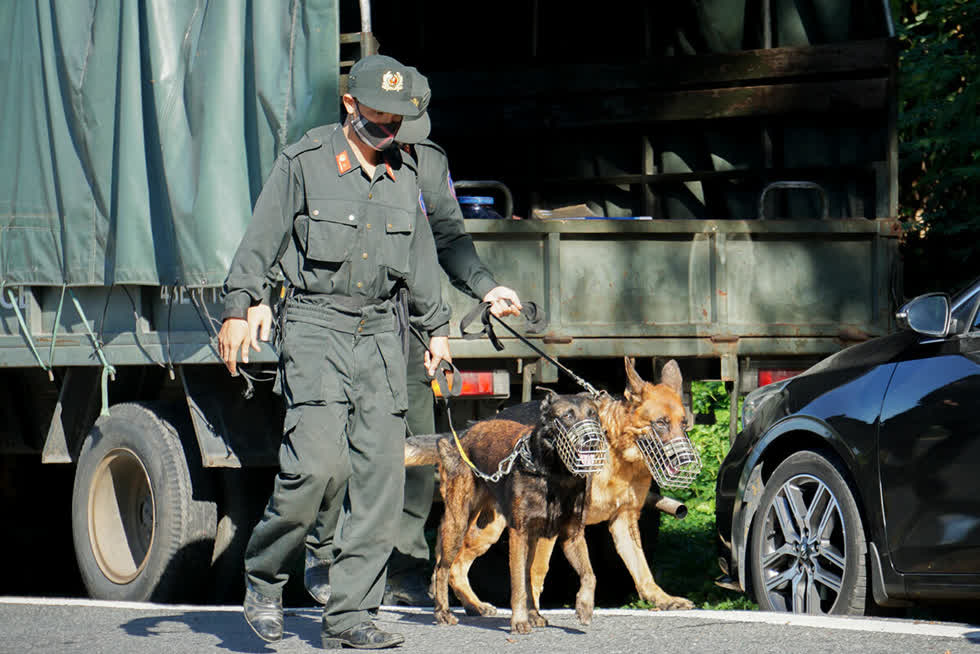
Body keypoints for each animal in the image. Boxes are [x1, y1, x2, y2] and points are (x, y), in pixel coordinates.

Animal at [404, 392, 596, 632]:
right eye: (568, 416)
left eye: (593, 414)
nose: (591, 439)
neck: (555, 476)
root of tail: (462, 435)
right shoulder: (519, 535)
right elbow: (519, 584)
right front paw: (520, 621)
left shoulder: (571, 537)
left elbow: (588, 575)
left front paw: (583, 607)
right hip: (459, 525)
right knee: (442, 568)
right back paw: (443, 613)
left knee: (456, 567)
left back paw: (476, 607)